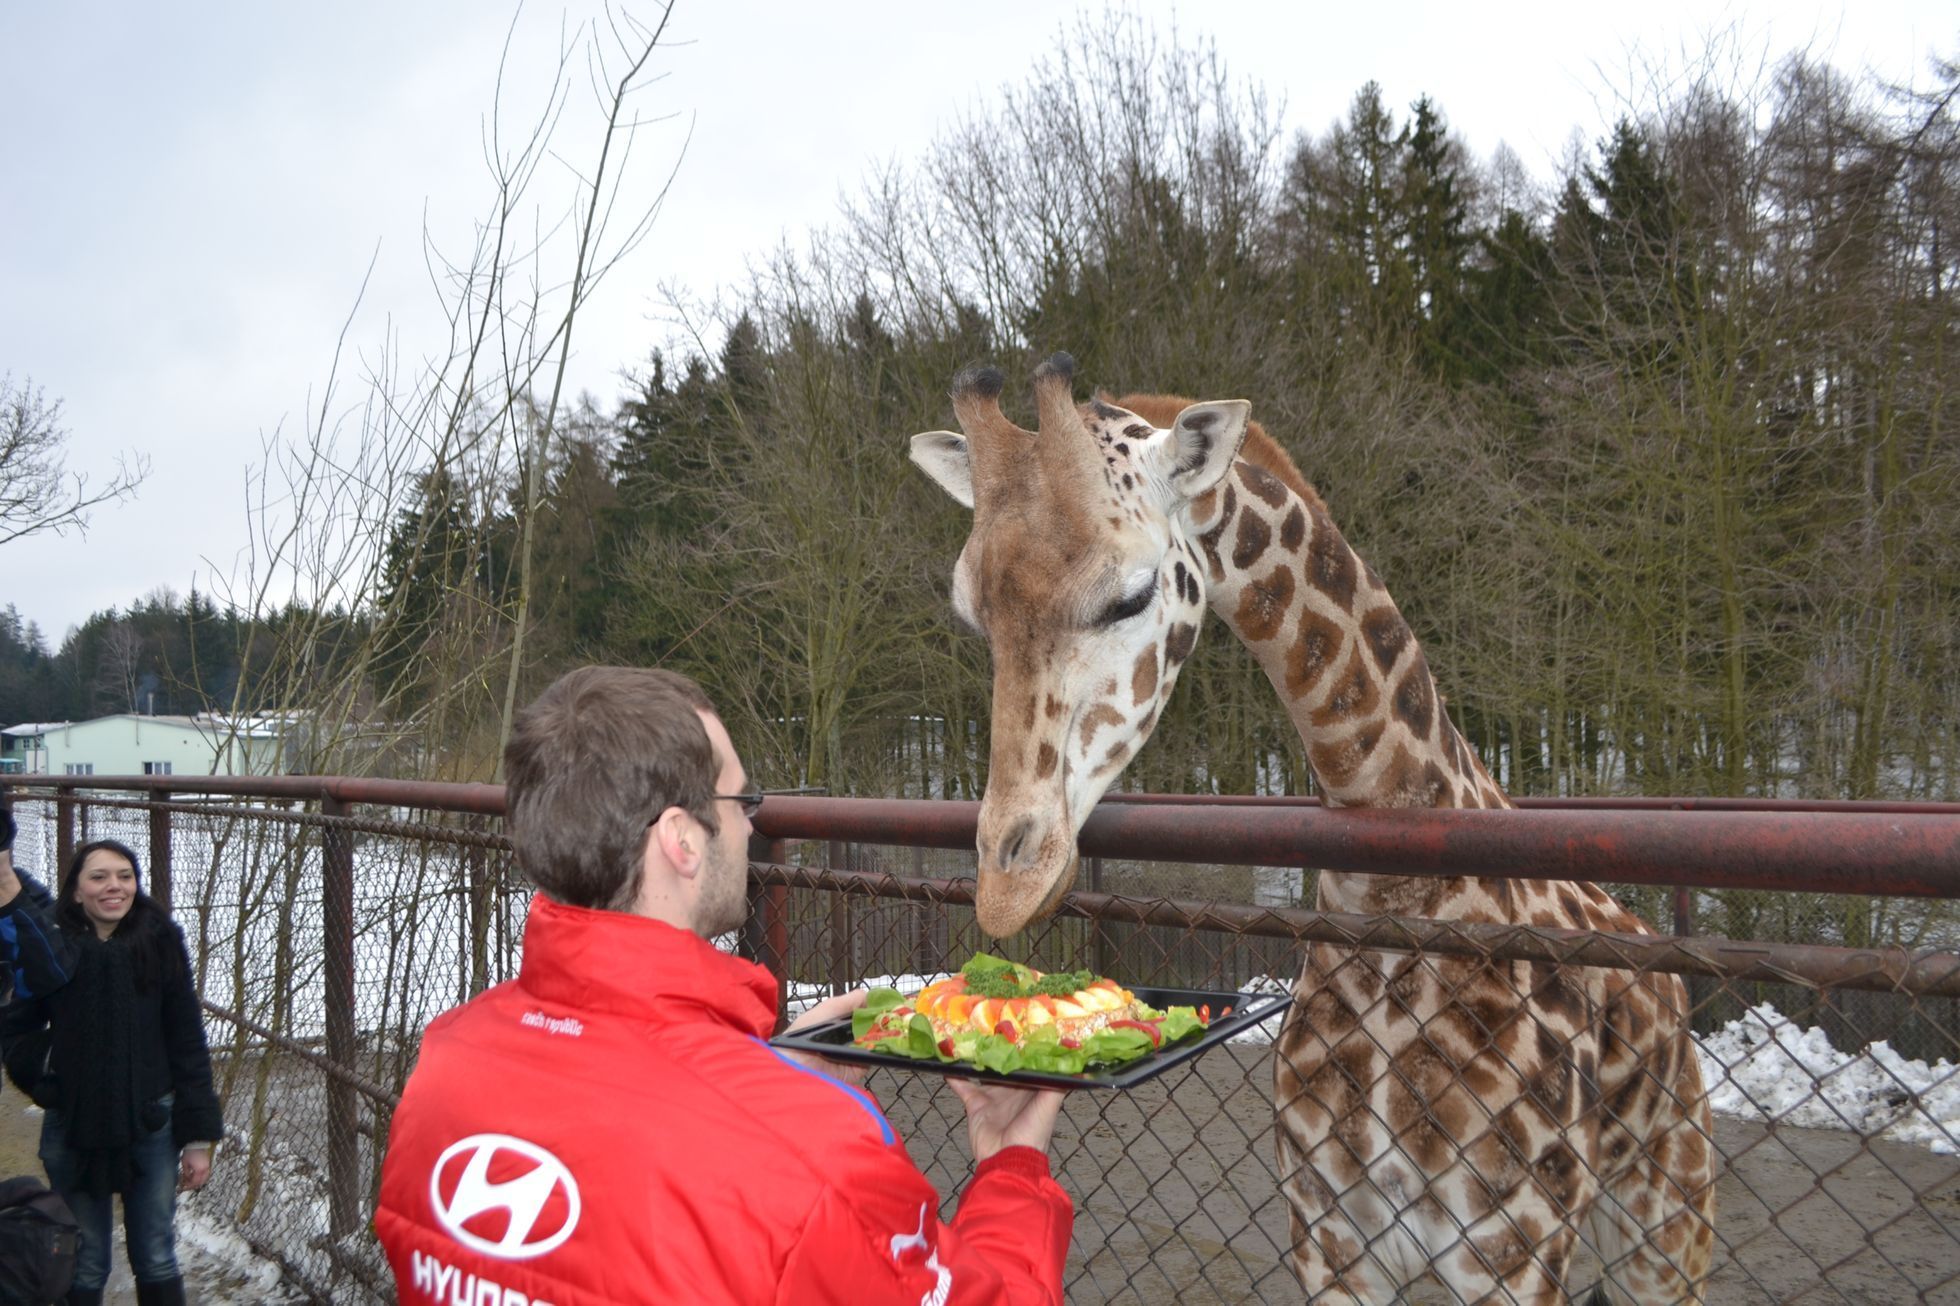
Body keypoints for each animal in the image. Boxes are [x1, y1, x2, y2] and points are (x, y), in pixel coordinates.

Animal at [905, 356, 1716, 1302]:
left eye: (1131, 595)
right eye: (972, 613)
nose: (1009, 886)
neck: (1396, 892)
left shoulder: (1511, 1250)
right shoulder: (1332, 1235)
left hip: (1667, 1217)